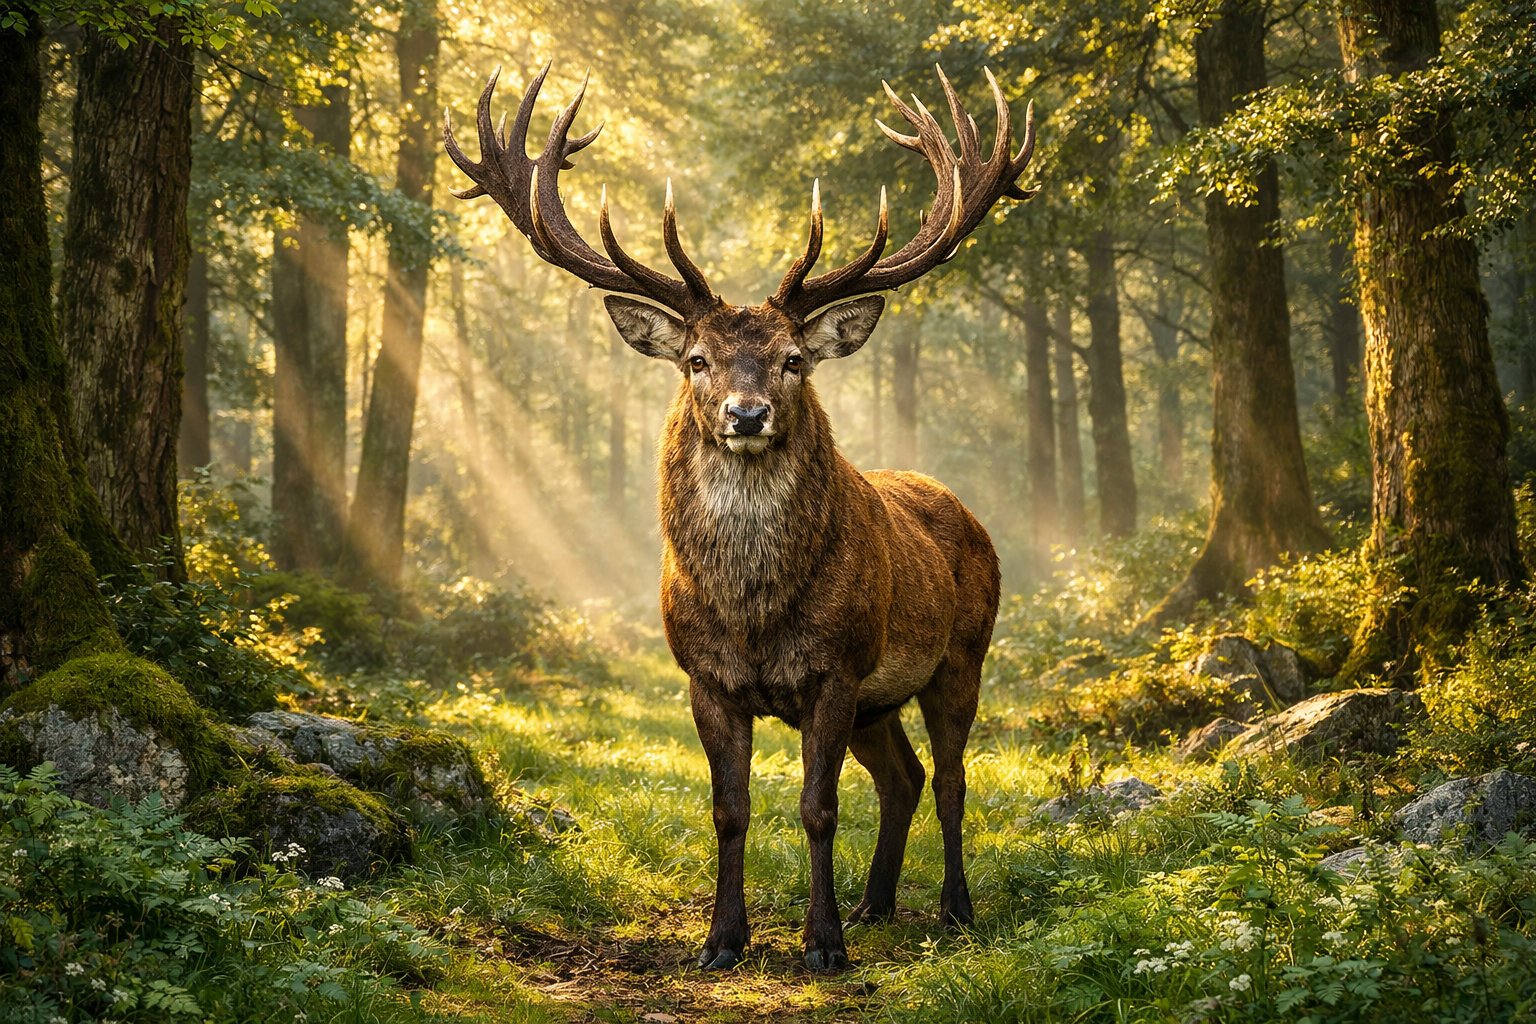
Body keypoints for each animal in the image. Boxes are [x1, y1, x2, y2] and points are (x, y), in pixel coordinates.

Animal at [444, 62, 1035, 972]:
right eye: (696, 359)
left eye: (793, 359)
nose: (747, 413)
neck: (753, 610)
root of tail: (966, 512)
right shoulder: (706, 676)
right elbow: (730, 810)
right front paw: (724, 940)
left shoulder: (835, 667)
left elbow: (818, 809)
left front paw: (821, 946)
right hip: (880, 700)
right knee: (901, 777)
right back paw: (875, 903)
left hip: (960, 654)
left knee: (950, 780)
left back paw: (953, 908)